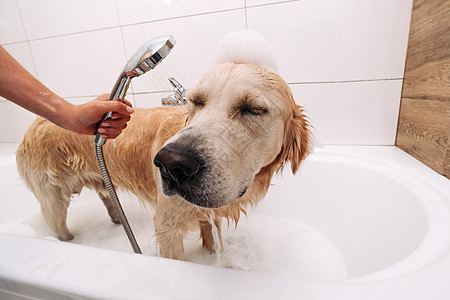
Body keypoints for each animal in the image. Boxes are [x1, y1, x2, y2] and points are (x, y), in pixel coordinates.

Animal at [14, 60, 310, 258]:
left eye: (254, 109)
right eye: (196, 101)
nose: (171, 164)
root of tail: (31, 126)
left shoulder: (206, 212)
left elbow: (211, 238)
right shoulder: (167, 226)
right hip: (54, 198)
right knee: (56, 221)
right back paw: (67, 240)